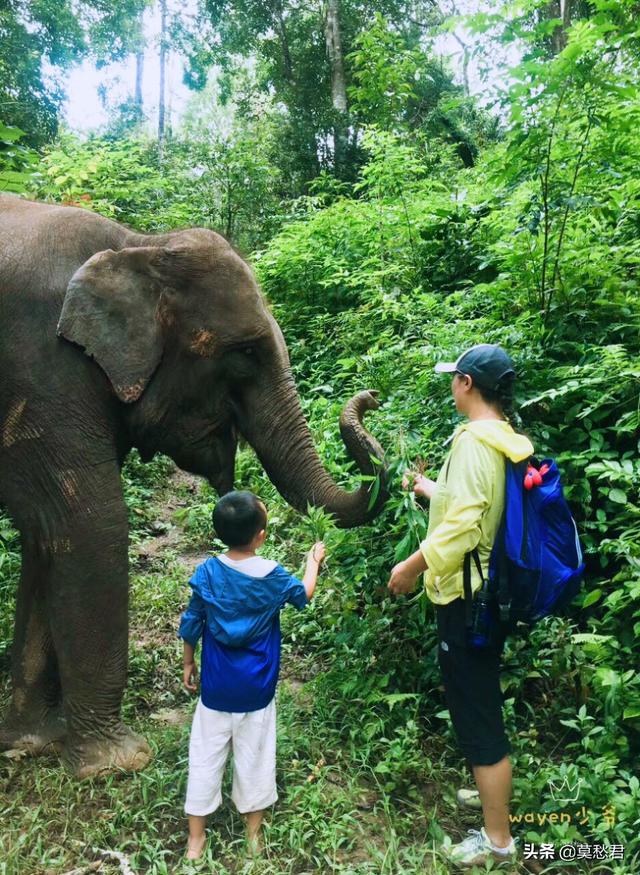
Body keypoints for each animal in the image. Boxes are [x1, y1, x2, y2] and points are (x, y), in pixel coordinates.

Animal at [0, 195, 384, 776]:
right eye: (245, 353)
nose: (372, 397)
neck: (137, 243)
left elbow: (44, 537)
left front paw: (30, 742)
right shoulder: (43, 374)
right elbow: (90, 526)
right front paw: (117, 763)